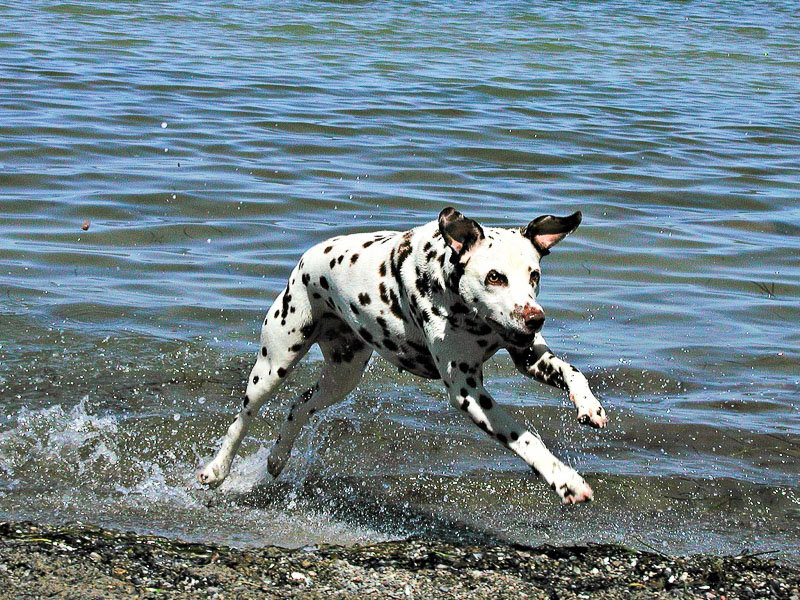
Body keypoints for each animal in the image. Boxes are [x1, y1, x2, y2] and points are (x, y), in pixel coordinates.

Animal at [200, 209, 608, 504]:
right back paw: (216, 470)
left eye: (533, 275)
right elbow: (526, 440)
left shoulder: (527, 354)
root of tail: (307, 258)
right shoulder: (467, 392)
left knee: (299, 406)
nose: (535, 317)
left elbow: (573, 372)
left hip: (342, 377)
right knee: (243, 418)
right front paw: (565, 480)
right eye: (495, 277)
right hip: (274, 364)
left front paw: (589, 406)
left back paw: (277, 457)